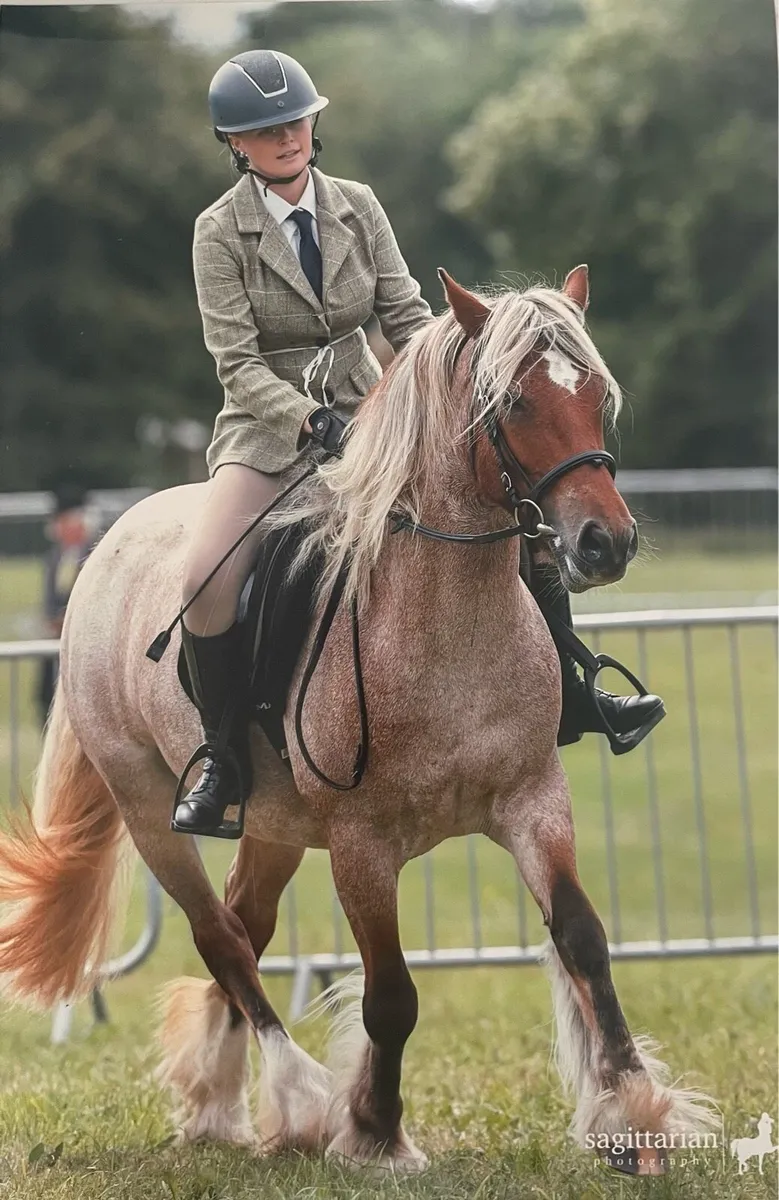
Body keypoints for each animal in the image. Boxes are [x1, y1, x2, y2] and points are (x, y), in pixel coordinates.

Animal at [0, 267, 716, 1175]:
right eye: (514, 402)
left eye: (594, 393)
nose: (604, 543)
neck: (444, 622)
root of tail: (109, 544)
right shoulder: (361, 846)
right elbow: (391, 995)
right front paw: (375, 1129)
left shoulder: (533, 802)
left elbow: (583, 940)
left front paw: (634, 1115)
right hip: (147, 807)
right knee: (218, 937)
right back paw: (299, 1100)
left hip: (272, 825)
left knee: (245, 924)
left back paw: (217, 1100)